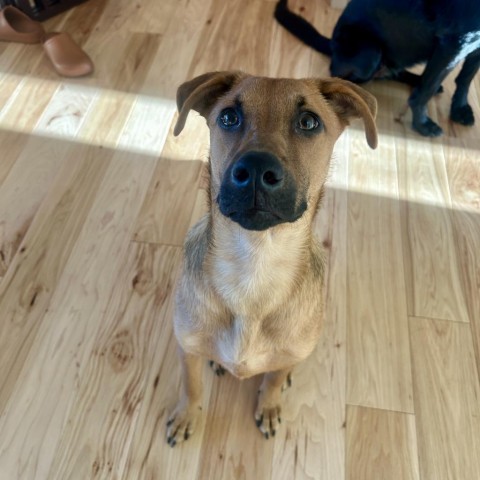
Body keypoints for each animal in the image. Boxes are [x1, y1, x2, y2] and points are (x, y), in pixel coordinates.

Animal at [167, 71, 376, 446]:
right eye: (229, 117)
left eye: (308, 122)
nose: (255, 169)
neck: (255, 264)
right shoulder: (187, 347)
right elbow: (191, 385)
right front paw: (187, 415)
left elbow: (274, 380)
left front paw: (269, 404)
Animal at [276, 0, 480, 137]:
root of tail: (332, 44)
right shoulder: (453, 45)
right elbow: (425, 92)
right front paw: (422, 124)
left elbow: (465, 78)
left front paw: (460, 109)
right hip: (370, 53)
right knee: (346, 76)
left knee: (395, 73)